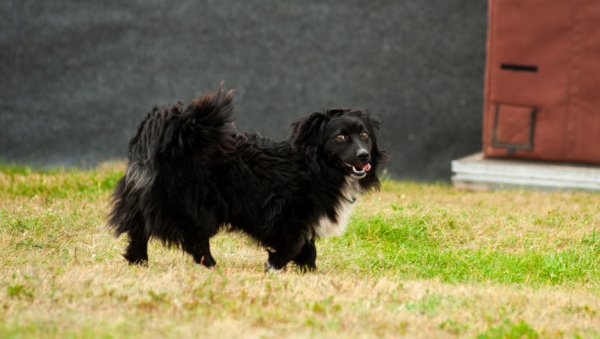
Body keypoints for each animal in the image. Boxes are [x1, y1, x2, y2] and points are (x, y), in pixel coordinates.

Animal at [109, 87, 384, 270]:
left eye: (364, 134)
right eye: (340, 137)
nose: (364, 155)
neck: (314, 165)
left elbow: (308, 246)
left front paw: (308, 270)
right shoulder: (285, 213)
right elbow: (294, 243)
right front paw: (275, 265)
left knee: (139, 228)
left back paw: (137, 260)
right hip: (192, 203)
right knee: (194, 237)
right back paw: (210, 264)